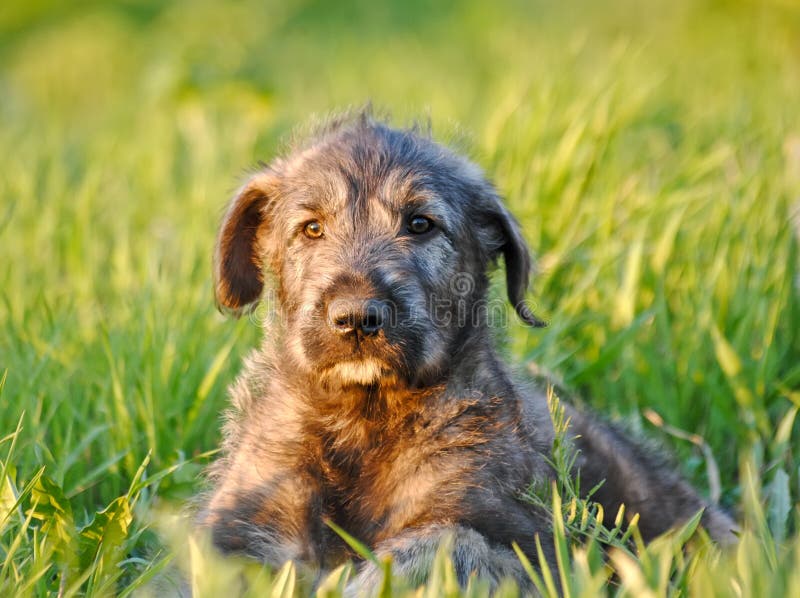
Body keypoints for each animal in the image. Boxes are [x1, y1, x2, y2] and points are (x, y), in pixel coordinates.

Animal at [200, 110, 736, 592]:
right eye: (311, 228)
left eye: (420, 224)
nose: (356, 318)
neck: (363, 416)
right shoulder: (245, 518)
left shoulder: (523, 542)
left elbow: (443, 544)